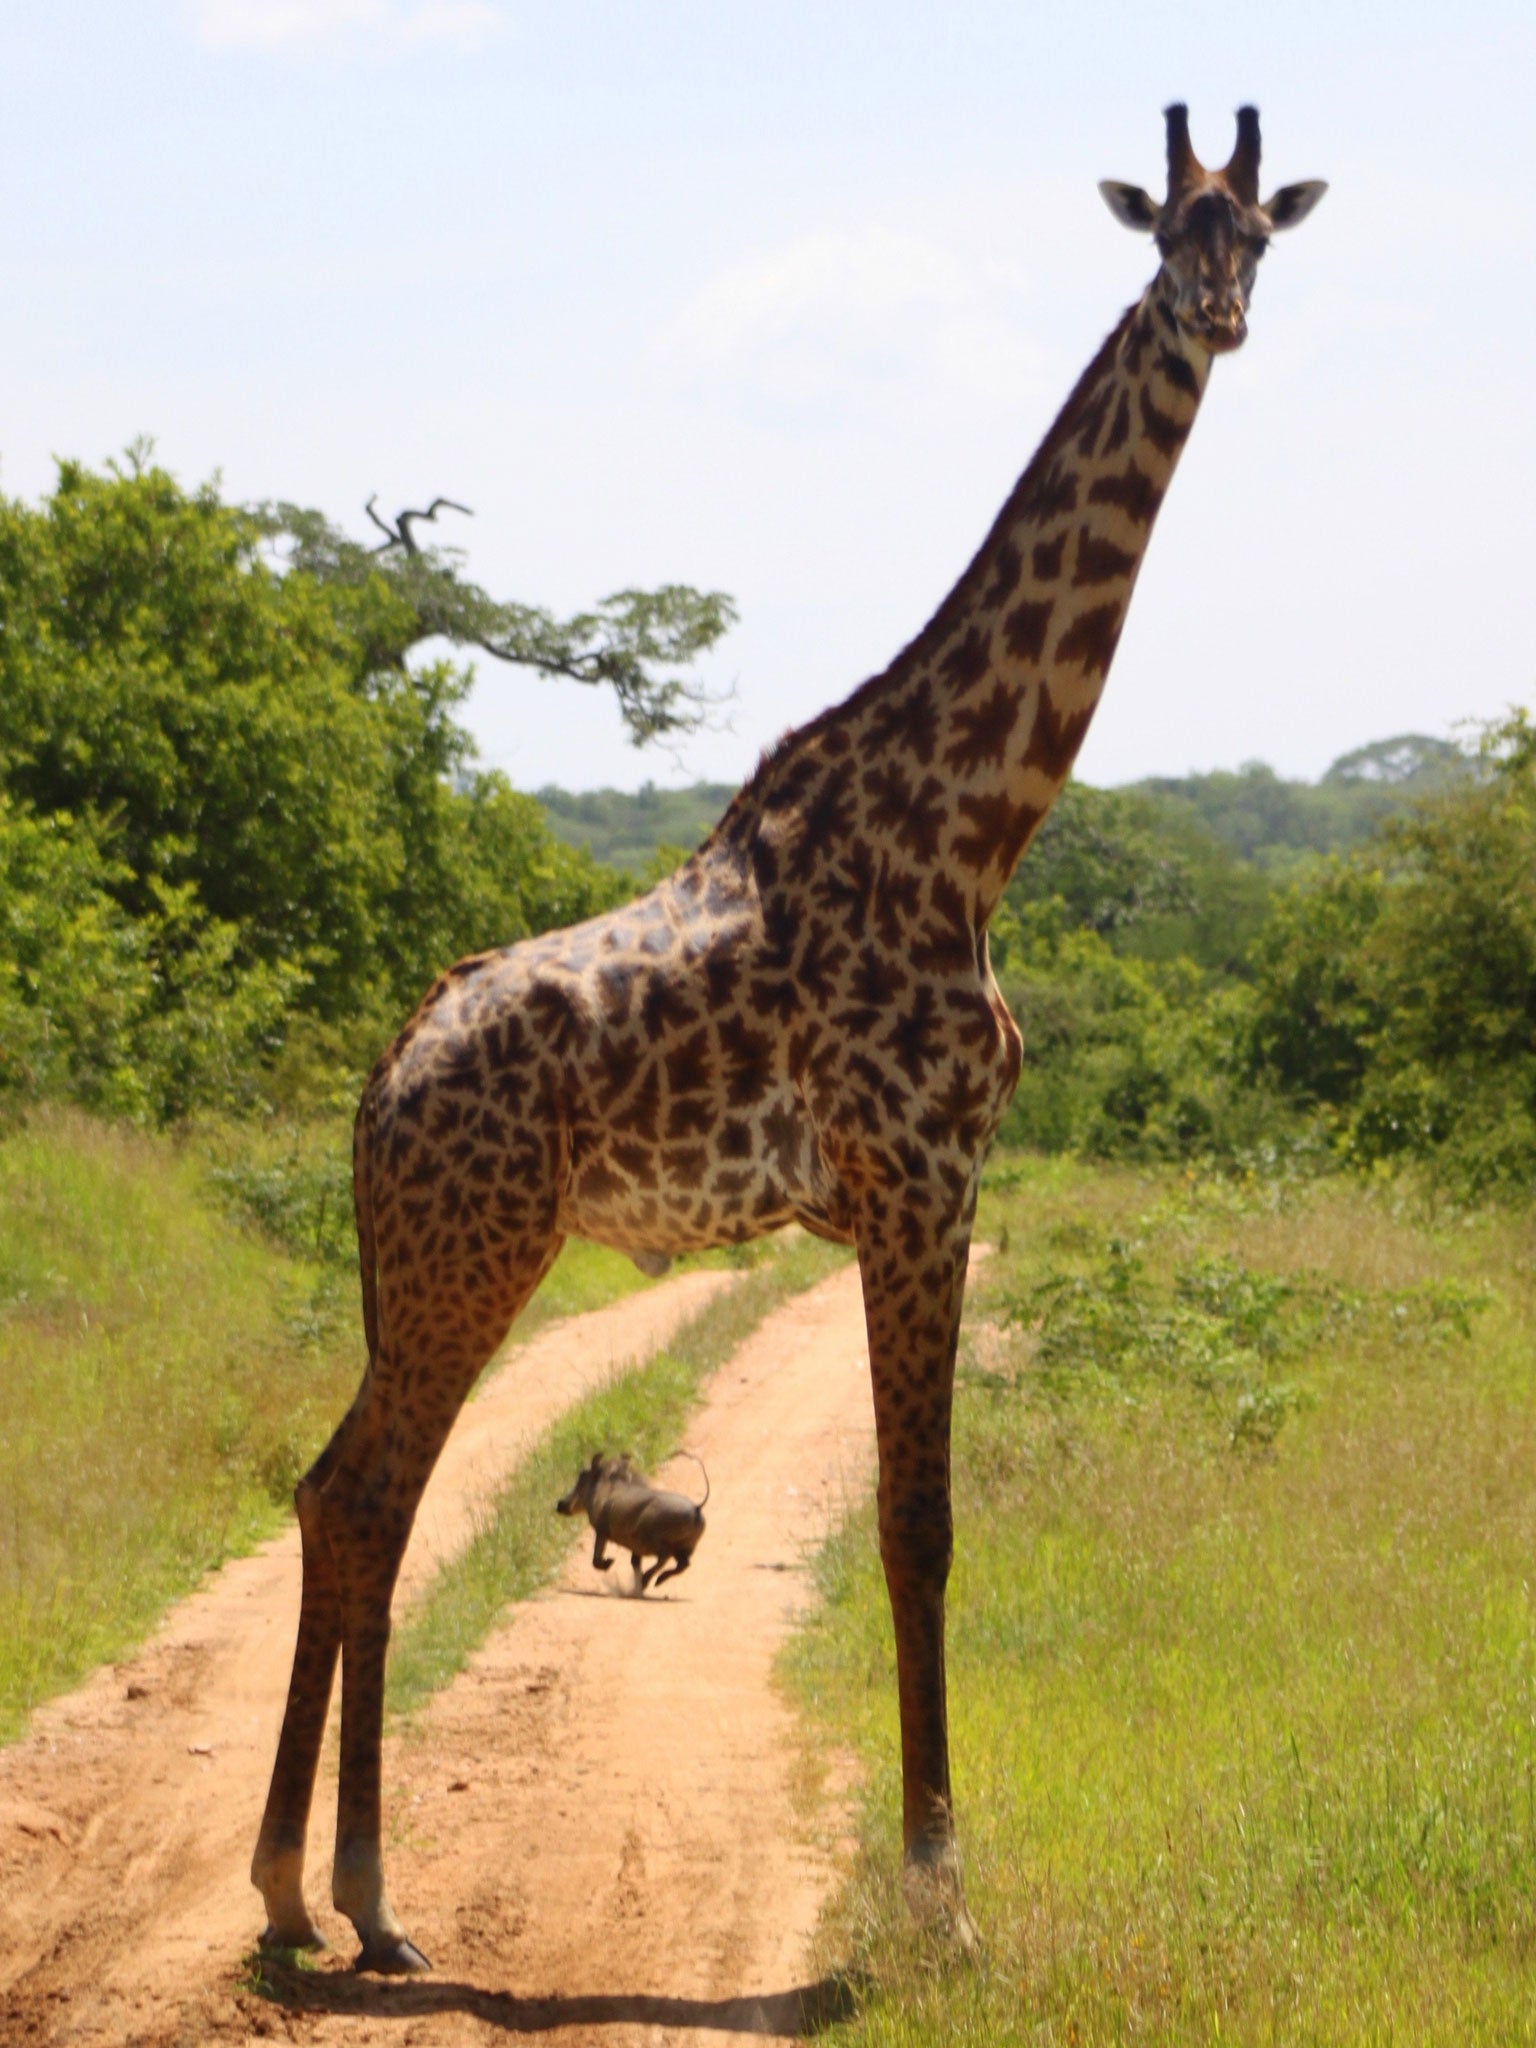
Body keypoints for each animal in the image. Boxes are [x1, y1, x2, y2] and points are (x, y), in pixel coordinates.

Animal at [249, 99, 1327, 1966]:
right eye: (1164, 234)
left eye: (1257, 234)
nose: (1215, 316)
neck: (974, 824)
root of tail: (381, 1082)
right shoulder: (919, 1179)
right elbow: (918, 1523)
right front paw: (938, 1890)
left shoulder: (924, 1191)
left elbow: (919, 1519)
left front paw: (936, 1874)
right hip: (476, 1246)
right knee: (373, 1499)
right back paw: (370, 1901)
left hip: (422, 1258)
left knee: (330, 1492)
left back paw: (294, 1897)